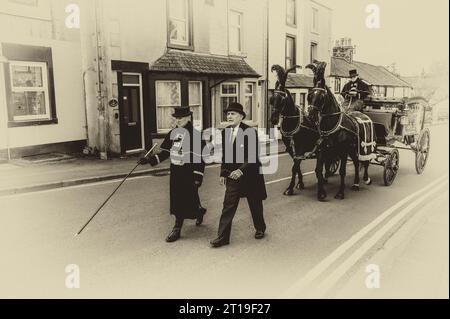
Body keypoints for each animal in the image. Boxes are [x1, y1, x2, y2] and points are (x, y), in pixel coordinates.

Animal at [268, 64, 336, 198]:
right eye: (272, 99)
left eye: (282, 99)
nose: (273, 119)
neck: (293, 122)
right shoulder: (291, 149)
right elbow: (296, 166)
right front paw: (300, 183)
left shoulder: (300, 148)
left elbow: (295, 167)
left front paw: (290, 188)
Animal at [306, 61, 372, 201]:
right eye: (309, 95)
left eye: (322, 96)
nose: (310, 116)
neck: (332, 126)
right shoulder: (322, 151)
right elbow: (318, 170)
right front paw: (321, 193)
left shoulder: (343, 152)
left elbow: (342, 171)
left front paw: (340, 193)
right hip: (353, 150)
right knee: (357, 162)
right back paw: (356, 182)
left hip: (361, 148)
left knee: (364, 162)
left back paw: (363, 180)